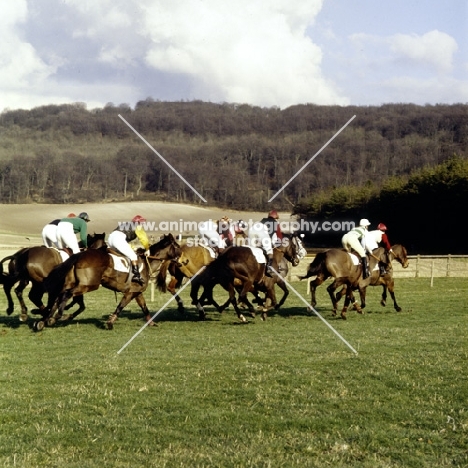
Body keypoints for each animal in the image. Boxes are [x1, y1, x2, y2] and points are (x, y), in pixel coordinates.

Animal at [40, 233, 181, 330]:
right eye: (177, 246)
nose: (183, 260)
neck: (147, 263)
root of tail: (79, 255)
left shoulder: (137, 292)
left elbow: (144, 307)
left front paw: (151, 322)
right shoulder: (130, 292)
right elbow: (121, 306)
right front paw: (110, 322)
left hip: (72, 283)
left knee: (59, 295)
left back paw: (45, 320)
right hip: (88, 285)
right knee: (66, 294)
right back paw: (57, 315)